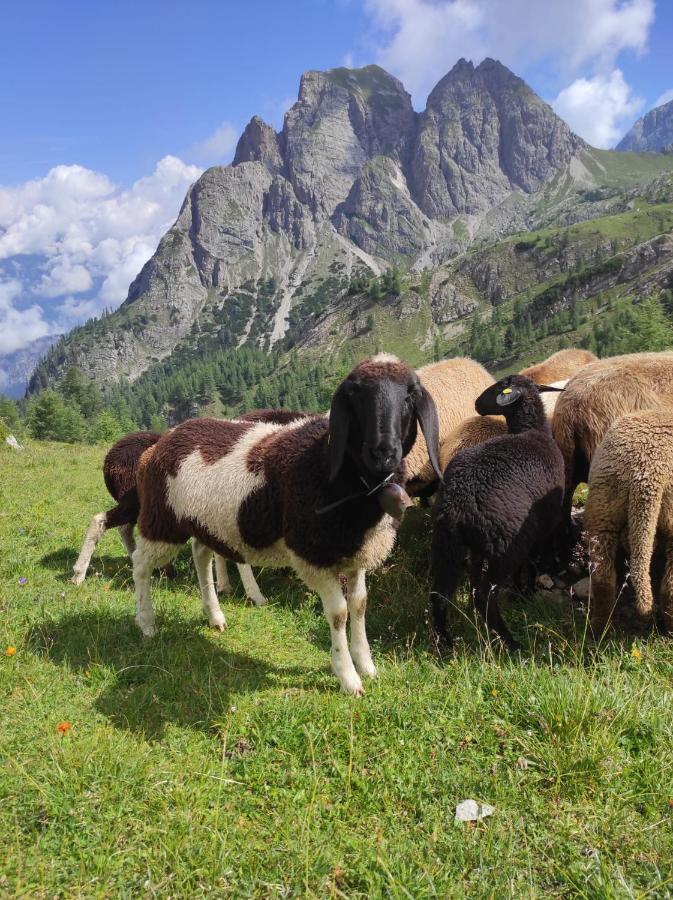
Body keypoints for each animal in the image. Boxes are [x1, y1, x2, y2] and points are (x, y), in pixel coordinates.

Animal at [131, 356, 440, 692]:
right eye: (355, 394)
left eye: (410, 395)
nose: (383, 452)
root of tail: (165, 439)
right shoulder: (312, 555)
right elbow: (339, 613)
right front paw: (348, 677)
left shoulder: (357, 553)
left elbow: (359, 605)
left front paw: (368, 666)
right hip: (162, 519)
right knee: (140, 564)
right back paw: (146, 623)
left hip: (204, 522)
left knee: (200, 555)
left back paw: (214, 615)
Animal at [428, 376, 564, 652]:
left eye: (500, 386)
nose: (477, 404)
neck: (531, 431)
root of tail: (457, 505)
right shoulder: (538, 531)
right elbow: (529, 563)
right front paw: (525, 592)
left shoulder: (478, 548)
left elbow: (474, 572)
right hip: (506, 544)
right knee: (486, 595)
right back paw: (511, 643)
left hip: (447, 544)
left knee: (439, 595)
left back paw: (446, 645)